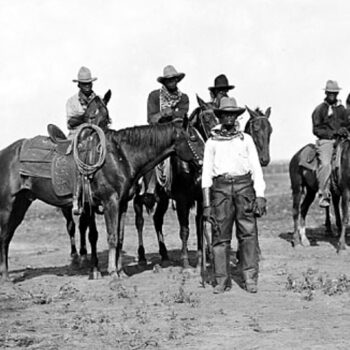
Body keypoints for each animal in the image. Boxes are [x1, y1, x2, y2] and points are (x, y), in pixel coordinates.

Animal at [0, 105, 202, 280]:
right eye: (193, 138)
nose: (204, 161)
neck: (121, 156)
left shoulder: (122, 203)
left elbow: (119, 238)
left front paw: (121, 271)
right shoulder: (110, 202)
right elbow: (111, 236)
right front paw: (112, 272)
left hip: (21, 203)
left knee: (7, 236)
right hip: (7, 206)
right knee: (3, 236)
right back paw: (6, 277)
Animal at [133, 98, 272, 268]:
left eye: (270, 131)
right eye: (206, 118)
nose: (264, 160)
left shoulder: (201, 198)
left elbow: (201, 225)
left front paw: (201, 259)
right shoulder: (182, 200)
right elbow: (185, 229)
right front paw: (186, 263)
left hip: (163, 199)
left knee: (157, 219)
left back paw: (165, 254)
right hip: (141, 197)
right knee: (139, 220)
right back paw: (142, 257)